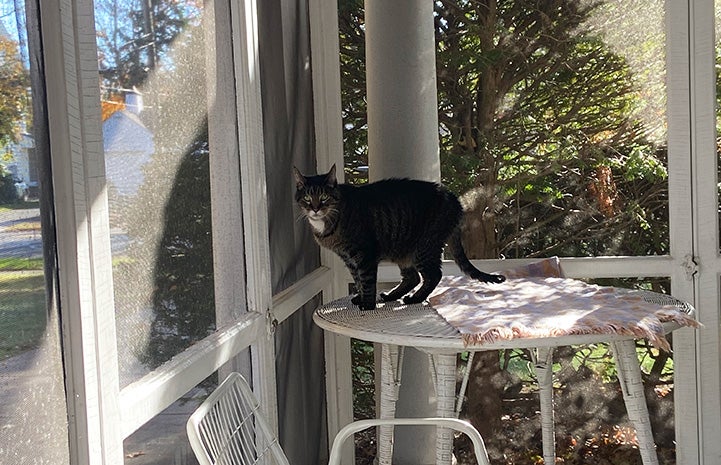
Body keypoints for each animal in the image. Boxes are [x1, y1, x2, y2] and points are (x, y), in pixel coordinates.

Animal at [294, 165, 506, 310]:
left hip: (425, 246)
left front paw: (367, 304)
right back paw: (390, 295)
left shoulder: (365, 254)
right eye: (307, 198)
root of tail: (455, 201)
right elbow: (357, 280)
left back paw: (414, 299)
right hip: (404, 251)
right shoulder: (348, 257)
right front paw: (360, 297)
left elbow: (367, 280)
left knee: (433, 275)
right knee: (412, 277)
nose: (315, 209)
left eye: (324, 198)